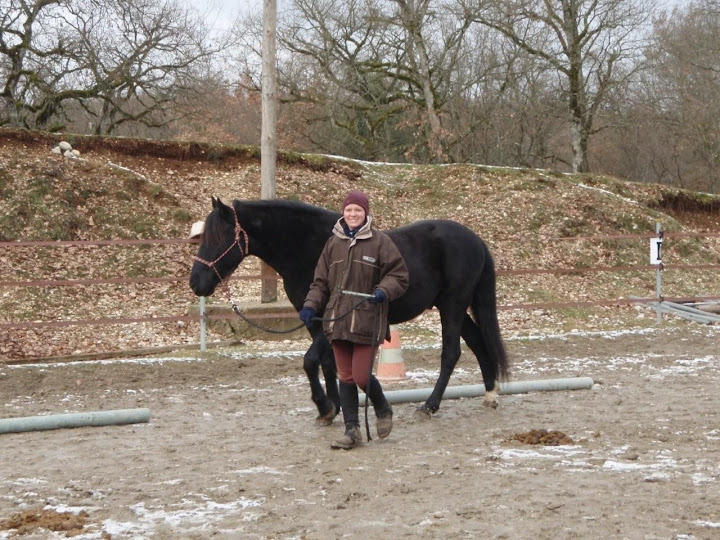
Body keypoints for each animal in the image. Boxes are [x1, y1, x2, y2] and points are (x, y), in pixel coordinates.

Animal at [188, 196, 510, 424]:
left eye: (218, 238)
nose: (196, 283)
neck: (310, 247)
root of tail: (475, 239)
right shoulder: (312, 319)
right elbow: (329, 362)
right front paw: (337, 405)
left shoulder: (329, 318)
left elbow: (310, 361)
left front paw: (325, 405)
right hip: (451, 305)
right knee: (478, 342)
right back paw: (490, 394)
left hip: (453, 304)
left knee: (451, 354)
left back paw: (429, 406)